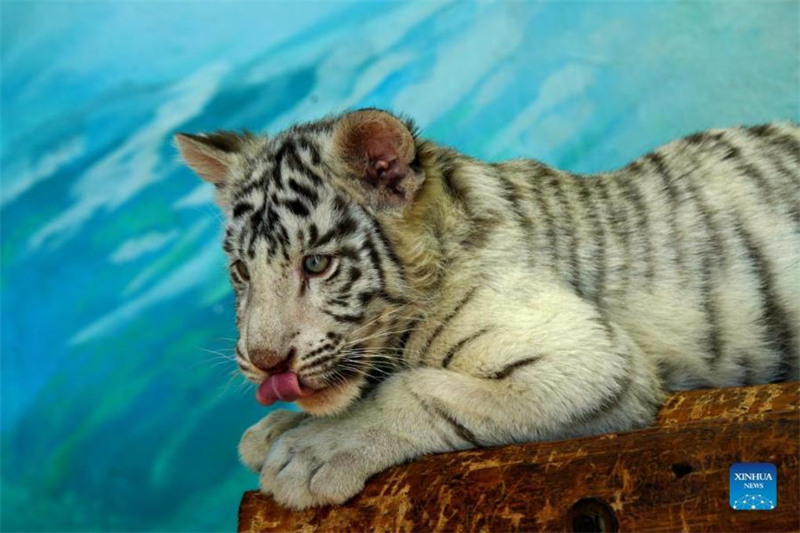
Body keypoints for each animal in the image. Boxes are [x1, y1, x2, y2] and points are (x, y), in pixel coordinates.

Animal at [175, 109, 799, 510]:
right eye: (241, 273)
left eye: (316, 264)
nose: (265, 362)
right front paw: (278, 427)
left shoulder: (590, 361)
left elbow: (417, 390)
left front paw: (309, 453)